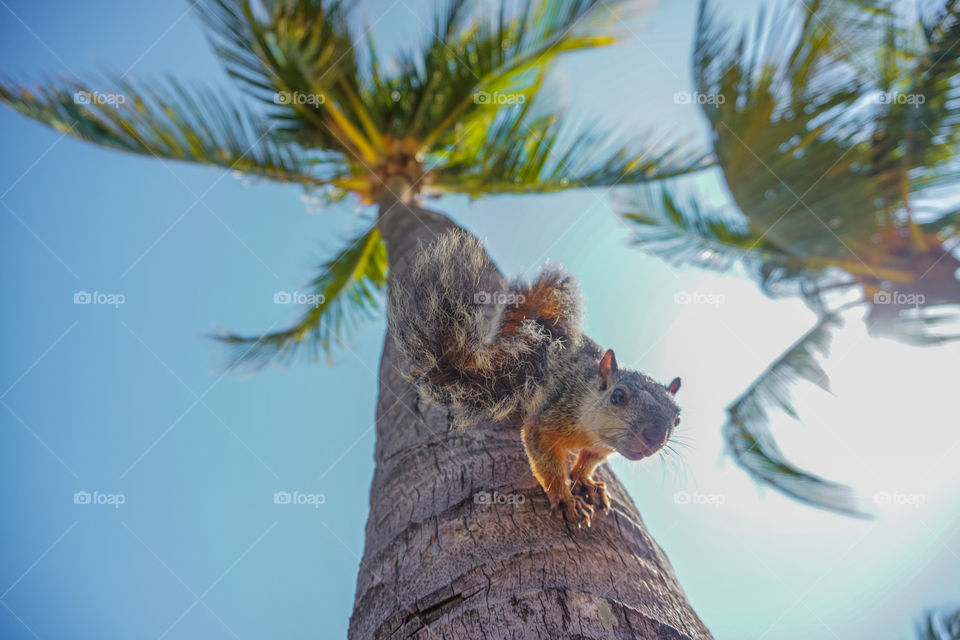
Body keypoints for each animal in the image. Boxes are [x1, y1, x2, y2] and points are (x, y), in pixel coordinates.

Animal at [390, 230, 684, 524]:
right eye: (618, 396)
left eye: (678, 419)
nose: (655, 437)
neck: (590, 429)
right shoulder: (552, 416)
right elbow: (543, 457)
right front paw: (565, 498)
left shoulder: (602, 447)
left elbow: (589, 461)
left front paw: (586, 480)